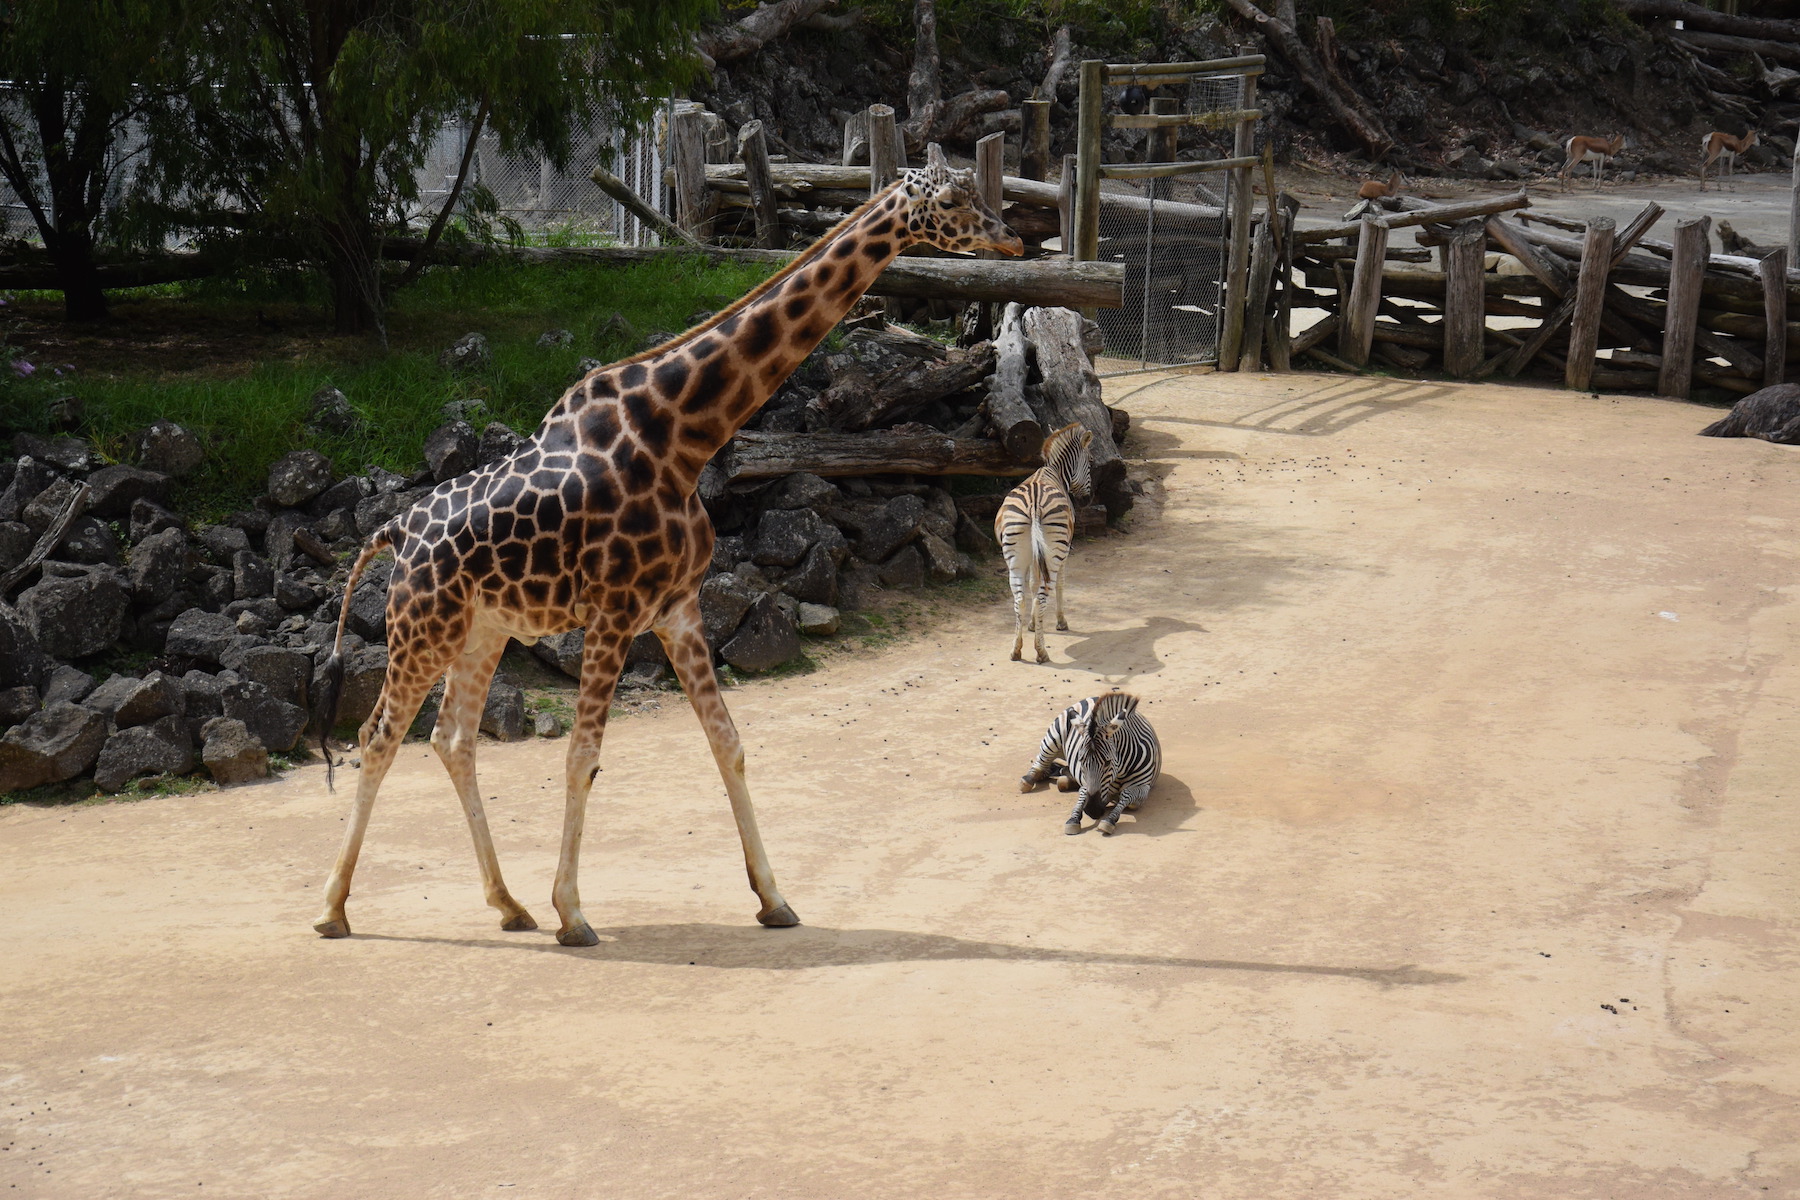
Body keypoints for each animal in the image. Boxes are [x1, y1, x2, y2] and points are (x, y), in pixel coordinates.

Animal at [307, 143, 1015, 949]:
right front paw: (573, 913)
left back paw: (507, 904)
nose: (1012, 238)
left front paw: (774, 899)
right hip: (421, 630)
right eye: (954, 201)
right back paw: (334, 909)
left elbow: (728, 742)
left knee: (452, 739)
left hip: (482, 629)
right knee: (378, 735)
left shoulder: (677, 608)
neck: (684, 436)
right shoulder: (614, 612)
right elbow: (583, 757)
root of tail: (394, 531)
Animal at [993, 422, 1087, 665]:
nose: (1087, 499)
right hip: (1054, 552)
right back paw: (1041, 652)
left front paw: (1033, 624)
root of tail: (1034, 503)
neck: (1053, 471)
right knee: (1043, 596)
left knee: (1020, 599)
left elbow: (1033, 585)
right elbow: (1060, 584)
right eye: (1090, 461)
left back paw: (1016, 650)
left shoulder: (1035, 556)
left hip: (1015, 556)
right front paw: (1061, 622)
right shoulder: (1065, 551)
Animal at [1022, 694, 1159, 834]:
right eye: (1081, 760)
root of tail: (1095, 697)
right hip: (1053, 738)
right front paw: (1074, 818)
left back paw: (1063, 779)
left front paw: (1110, 819)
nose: (1092, 810)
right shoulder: (1087, 782)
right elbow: (1084, 793)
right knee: (1040, 763)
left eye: (1107, 762)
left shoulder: (1142, 786)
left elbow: (1127, 798)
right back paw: (1028, 780)